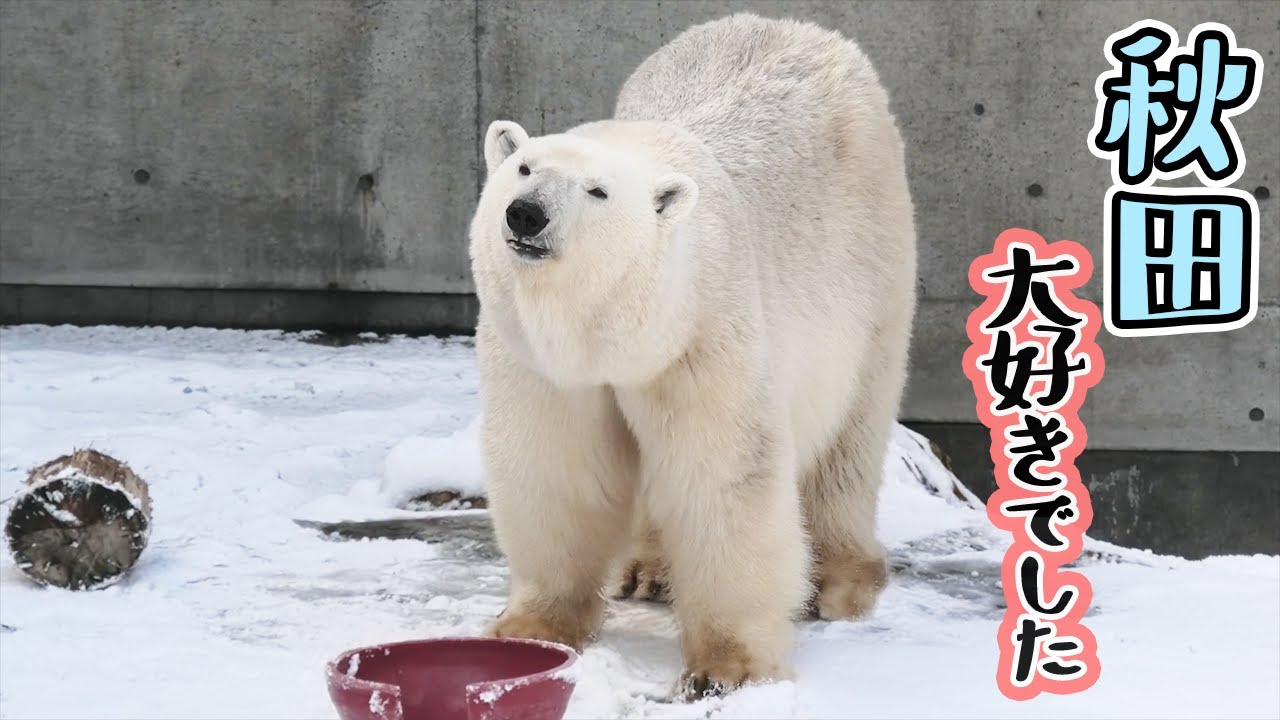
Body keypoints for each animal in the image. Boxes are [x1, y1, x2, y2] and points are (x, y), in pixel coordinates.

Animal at [467, 12, 917, 700]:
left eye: (596, 191)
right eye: (522, 168)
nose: (527, 215)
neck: (618, 333)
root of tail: (798, 28)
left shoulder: (704, 331)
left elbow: (724, 475)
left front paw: (726, 669)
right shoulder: (542, 364)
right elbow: (557, 468)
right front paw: (531, 628)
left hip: (875, 265)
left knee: (850, 434)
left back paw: (841, 580)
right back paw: (647, 572)